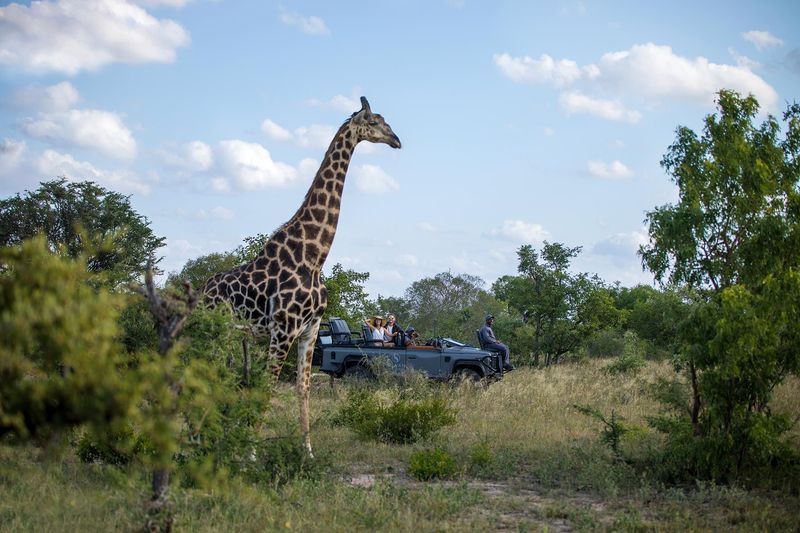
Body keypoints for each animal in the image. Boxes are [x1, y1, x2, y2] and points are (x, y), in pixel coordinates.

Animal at [202, 97, 401, 456]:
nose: (397, 140)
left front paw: (307, 451)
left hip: (234, 337)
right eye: (374, 122)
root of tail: (200, 290)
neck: (315, 256)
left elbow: (302, 388)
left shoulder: (309, 330)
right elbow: (268, 386)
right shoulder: (283, 329)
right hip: (218, 332)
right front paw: (251, 451)